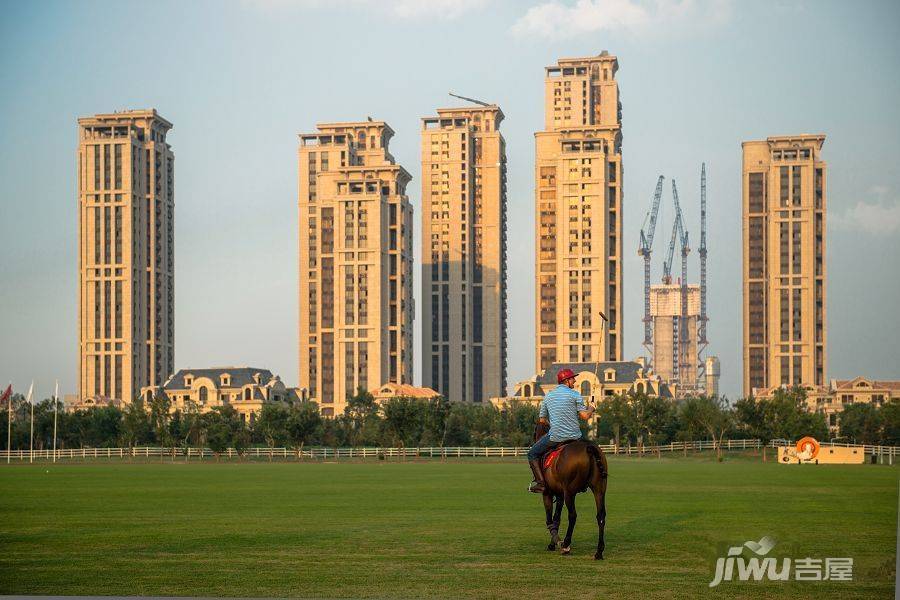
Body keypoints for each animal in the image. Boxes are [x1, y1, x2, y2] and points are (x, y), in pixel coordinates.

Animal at [536, 422, 608, 556]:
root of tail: (588, 447)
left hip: (570, 492)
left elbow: (550, 519)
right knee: (600, 515)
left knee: (572, 515)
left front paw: (555, 543)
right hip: (599, 488)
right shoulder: (559, 494)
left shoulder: (548, 493)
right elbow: (556, 519)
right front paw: (554, 543)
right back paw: (599, 551)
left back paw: (566, 544)